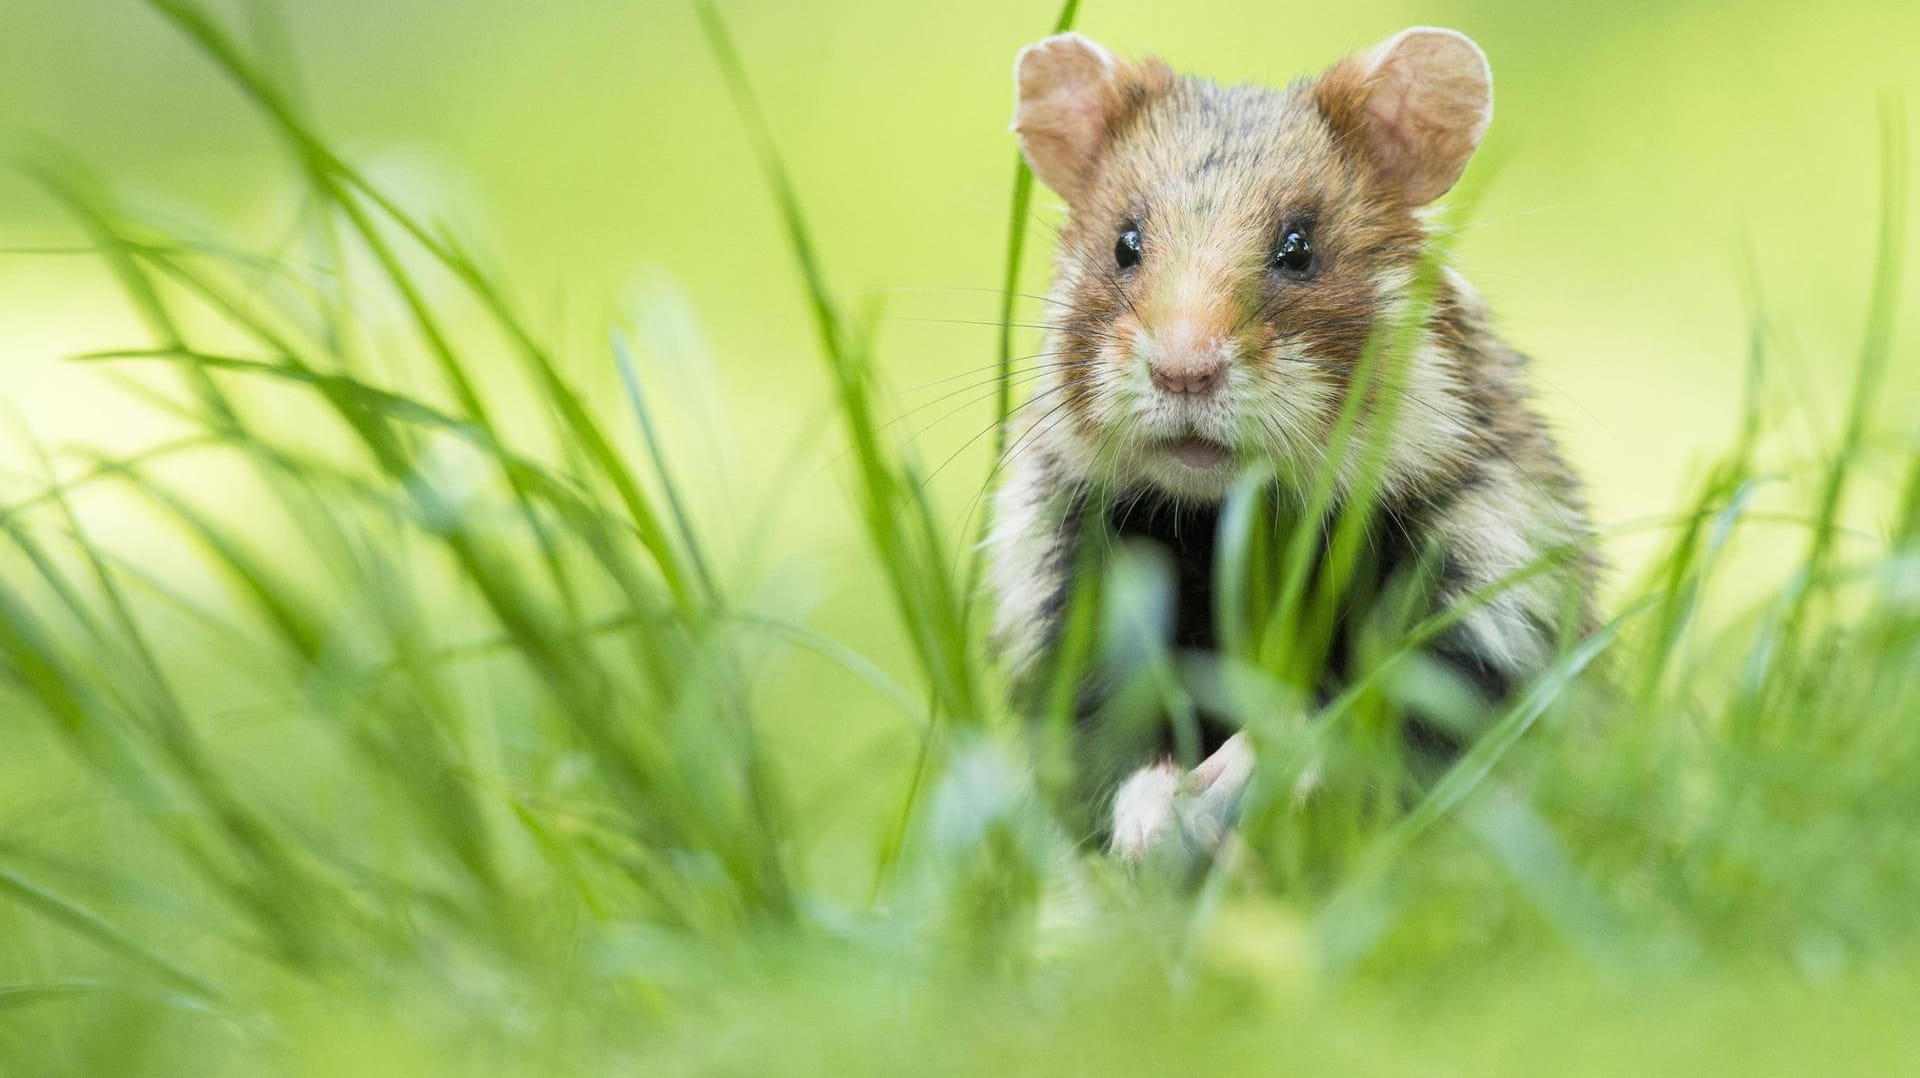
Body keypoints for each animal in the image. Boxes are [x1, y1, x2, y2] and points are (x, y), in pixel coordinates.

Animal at [983, 29, 1597, 860]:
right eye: (1125, 244)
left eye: (1299, 248)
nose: (1183, 370)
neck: (1229, 527)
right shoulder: (1073, 613)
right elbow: (1115, 748)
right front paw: (1156, 826)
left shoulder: (1477, 610)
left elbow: (1357, 718)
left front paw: (1226, 781)